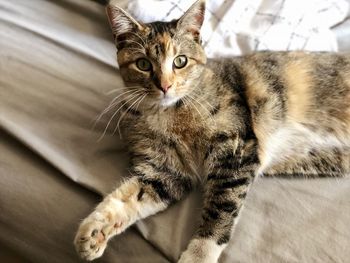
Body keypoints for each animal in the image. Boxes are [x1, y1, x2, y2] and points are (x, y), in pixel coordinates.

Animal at [74, 0, 350, 262]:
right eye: (143, 63)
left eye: (180, 61)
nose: (165, 86)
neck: (169, 113)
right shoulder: (166, 171)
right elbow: (128, 197)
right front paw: (94, 230)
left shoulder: (236, 151)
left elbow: (221, 209)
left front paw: (198, 256)